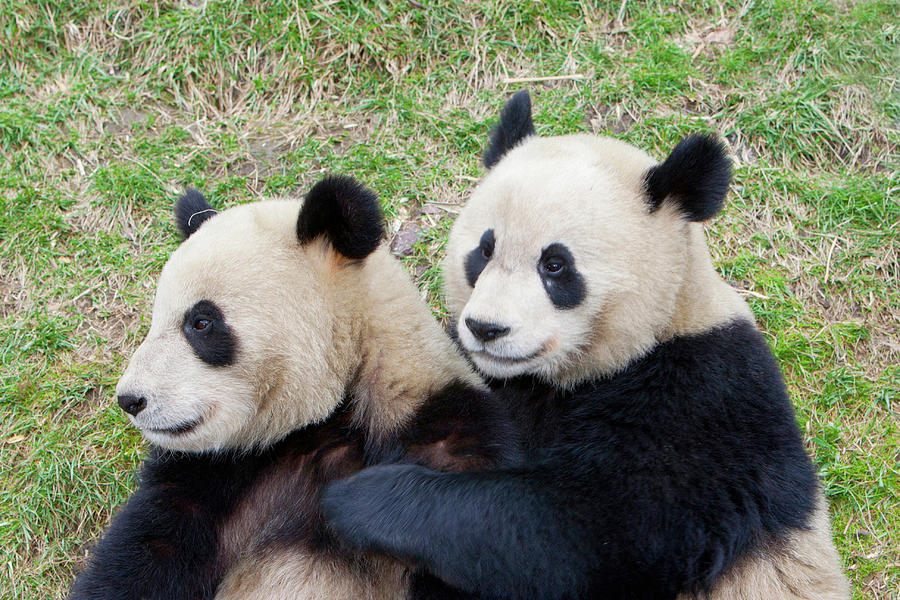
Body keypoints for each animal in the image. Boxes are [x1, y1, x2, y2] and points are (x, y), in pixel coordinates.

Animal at [68, 175, 520, 600]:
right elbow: (143, 557)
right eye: (155, 320)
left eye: (201, 322)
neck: (330, 419)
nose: (130, 399)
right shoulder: (213, 478)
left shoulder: (448, 441)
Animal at [318, 94, 852, 600]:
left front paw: (362, 500)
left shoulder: (704, 400)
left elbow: (585, 532)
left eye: (555, 265)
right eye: (484, 251)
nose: (486, 329)